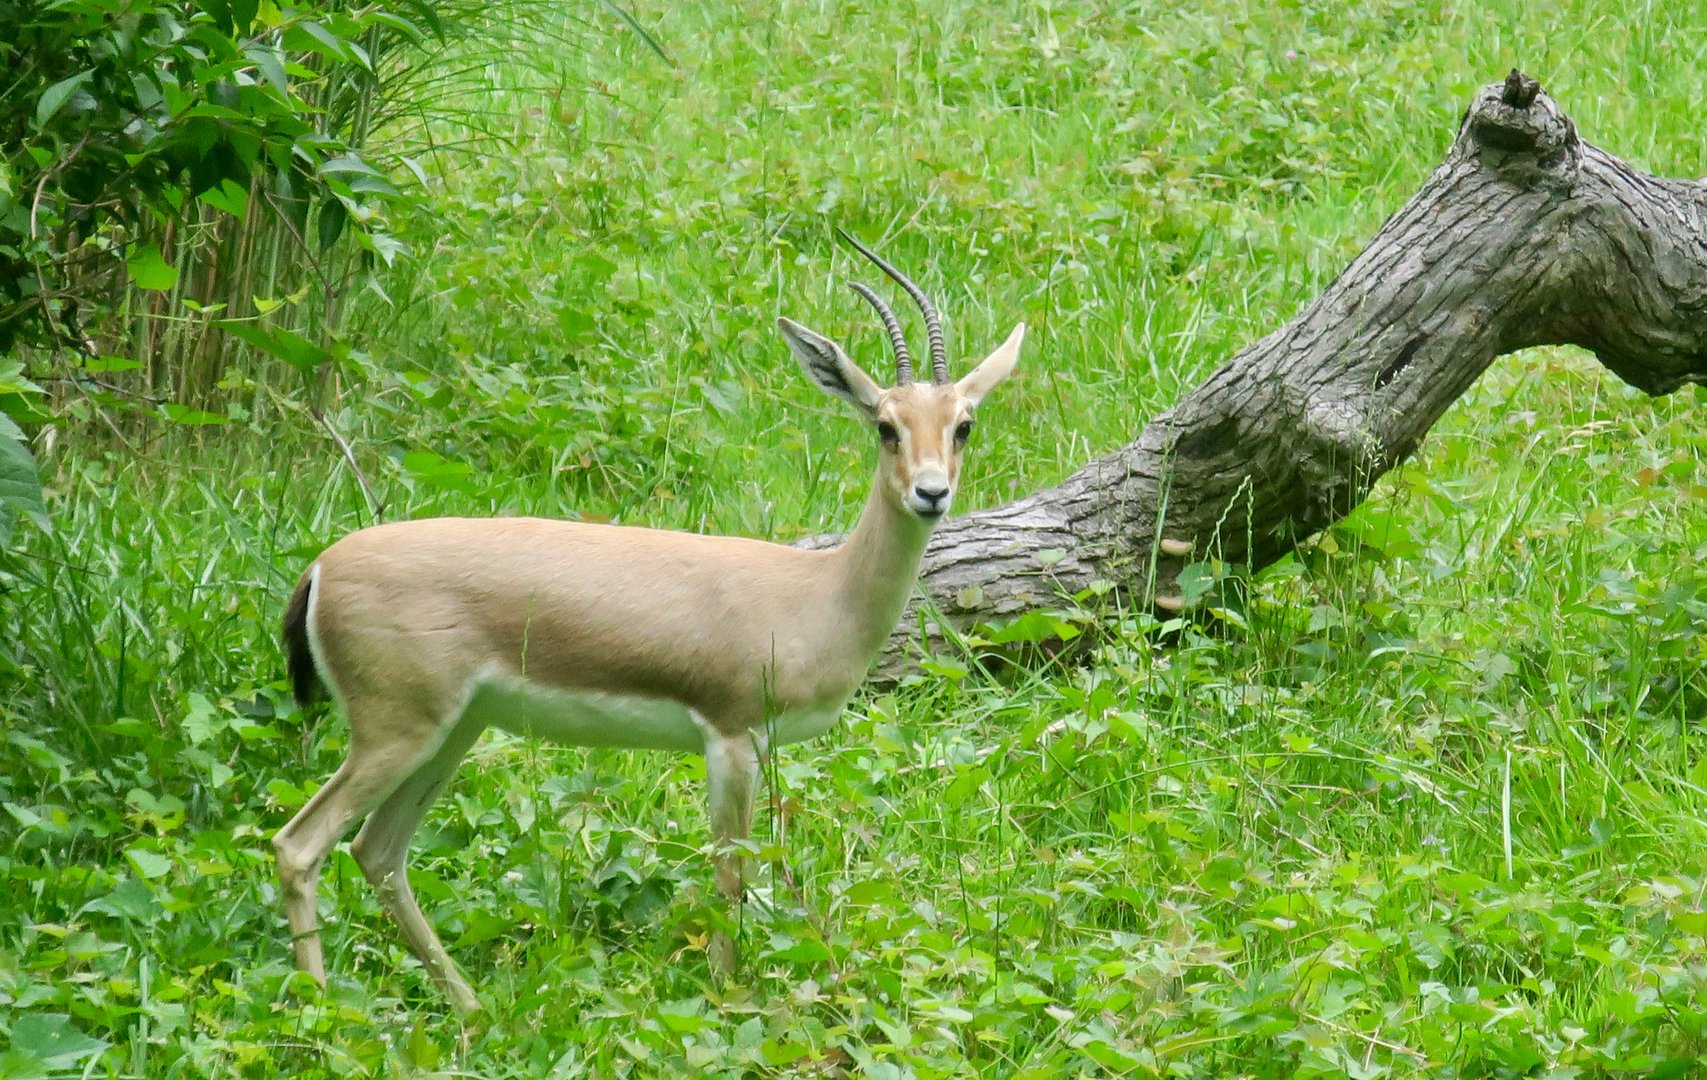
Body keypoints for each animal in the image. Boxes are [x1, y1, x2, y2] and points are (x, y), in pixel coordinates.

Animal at [272, 232, 1024, 1014]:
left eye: (963, 425)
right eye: (885, 426)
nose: (931, 493)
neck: (816, 594)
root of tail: (319, 569)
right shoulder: (730, 739)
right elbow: (731, 878)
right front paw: (726, 1000)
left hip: (454, 731)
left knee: (378, 852)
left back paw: (471, 1009)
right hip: (396, 733)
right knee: (300, 847)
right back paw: (321, 1012)